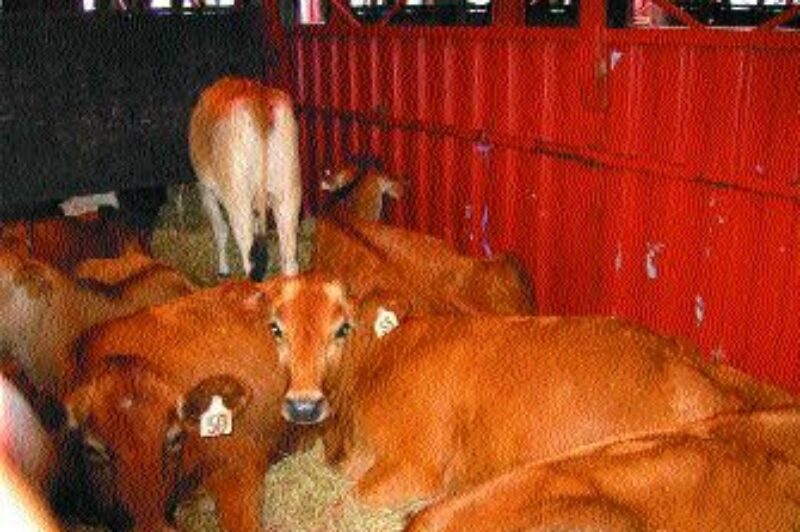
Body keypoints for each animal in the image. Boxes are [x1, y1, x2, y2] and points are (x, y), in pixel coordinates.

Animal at [189, 77, 302, 280]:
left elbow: (220, 229)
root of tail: (259, 101)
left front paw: (223, 270)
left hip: (238, 199)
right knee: (290, 263)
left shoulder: (205, 189)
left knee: (250, 261)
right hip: (288, 194)